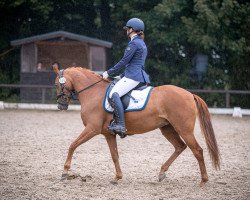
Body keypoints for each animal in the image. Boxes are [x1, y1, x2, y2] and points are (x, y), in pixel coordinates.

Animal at [52, 65, 219, 186]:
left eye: (57, 84)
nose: (61, 105)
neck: (93, 92)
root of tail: (190, 94)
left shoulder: (92, 129)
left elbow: (73, 145)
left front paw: (65, 171)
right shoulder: (108, 134)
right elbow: (114, 156)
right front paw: (117, 177)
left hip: (184, 129)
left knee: (197, 150)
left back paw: (203, 181)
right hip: (167, 128)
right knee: (180, 147)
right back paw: (162, 173)